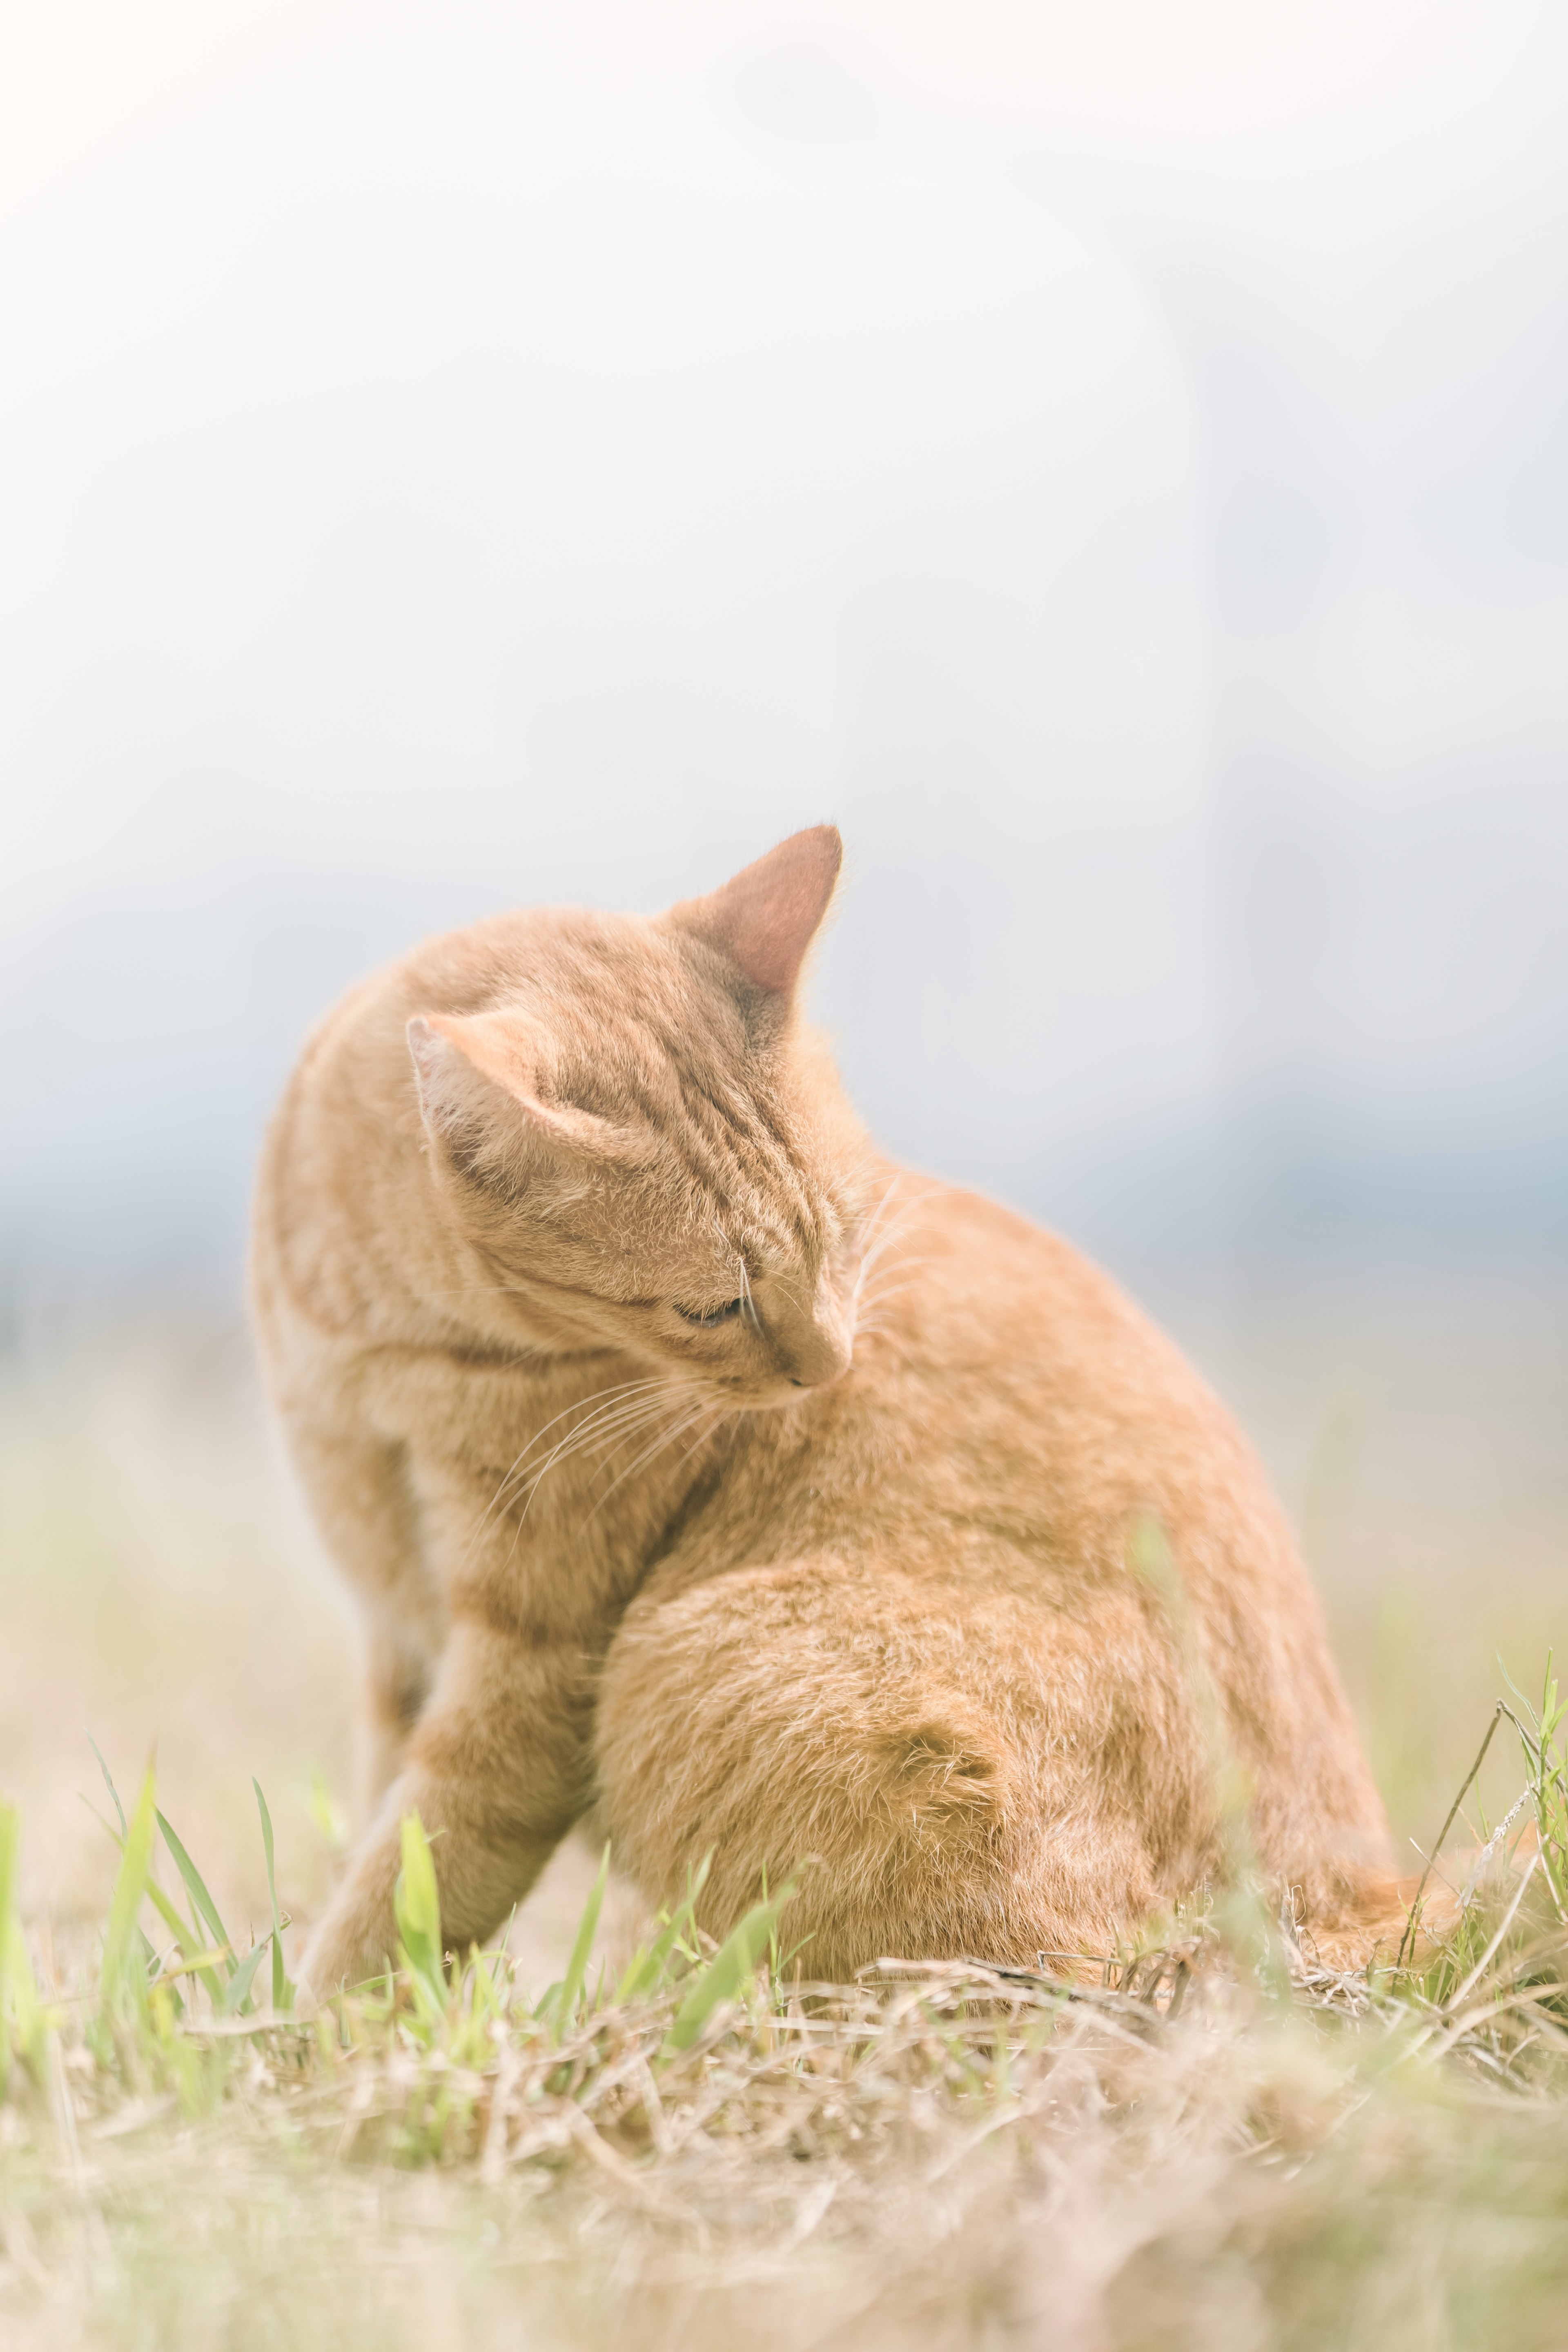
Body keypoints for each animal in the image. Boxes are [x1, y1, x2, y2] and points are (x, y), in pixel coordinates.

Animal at [257, 818, 1401, 1994]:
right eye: (713, 1306)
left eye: (845, 1236)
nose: (832, 1367)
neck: (384, 1357)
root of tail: (1352, 1908)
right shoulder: (398, 1636)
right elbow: (385, 1824)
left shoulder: (532, 1666)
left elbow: (417, 1872)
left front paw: (319, 2021)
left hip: (702, 1670)